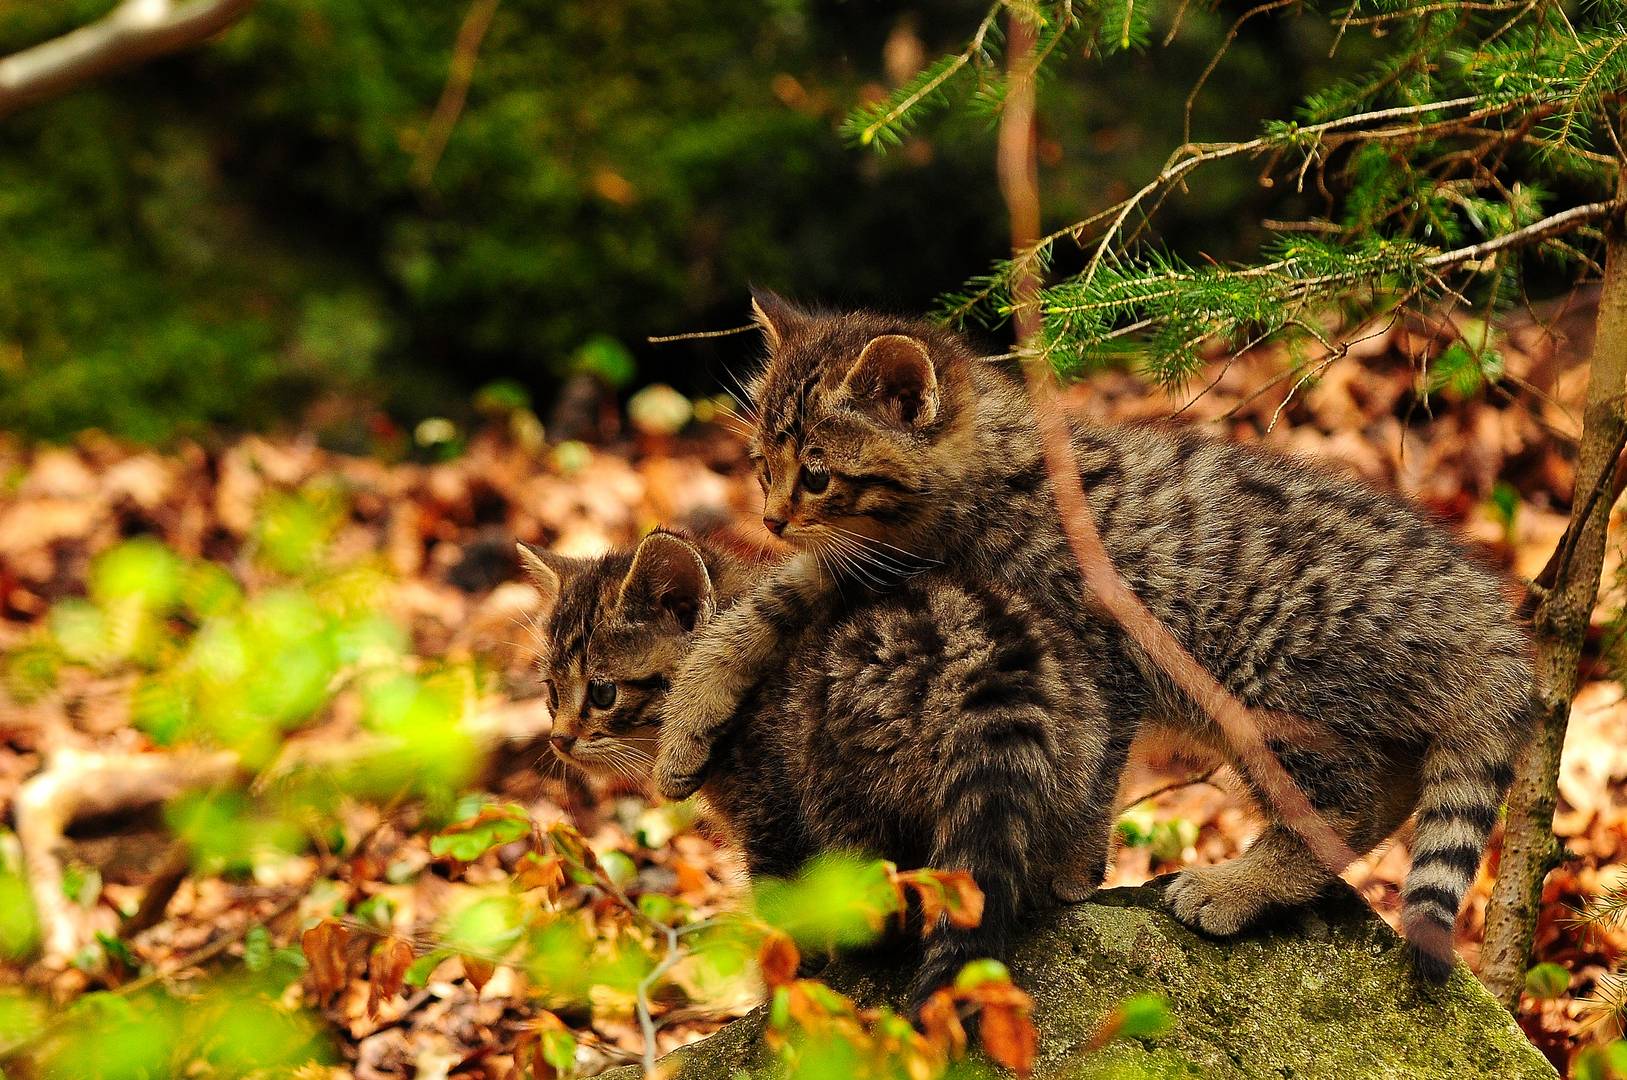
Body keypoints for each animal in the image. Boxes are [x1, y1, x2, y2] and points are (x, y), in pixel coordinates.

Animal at [517, 526, 1132, 1008]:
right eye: (550, 692)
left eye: (602, 692)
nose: (559, 739)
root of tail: (988, 669)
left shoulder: (772, 810)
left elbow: (786, 914)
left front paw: (788, 987)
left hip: (838, 774)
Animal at [650, 292, 1535, 975]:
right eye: (762, 465)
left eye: (817, 474)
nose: (770, 517)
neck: (970, 504)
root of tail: (1483, 612)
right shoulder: (876, 568)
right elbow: (768, 600)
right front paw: (687, 720)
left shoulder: (1097, 653)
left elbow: (1093, 762)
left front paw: (1068, 872)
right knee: (1384, 790)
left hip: (1270, 678)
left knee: (1341, 804)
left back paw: (1234, 887)